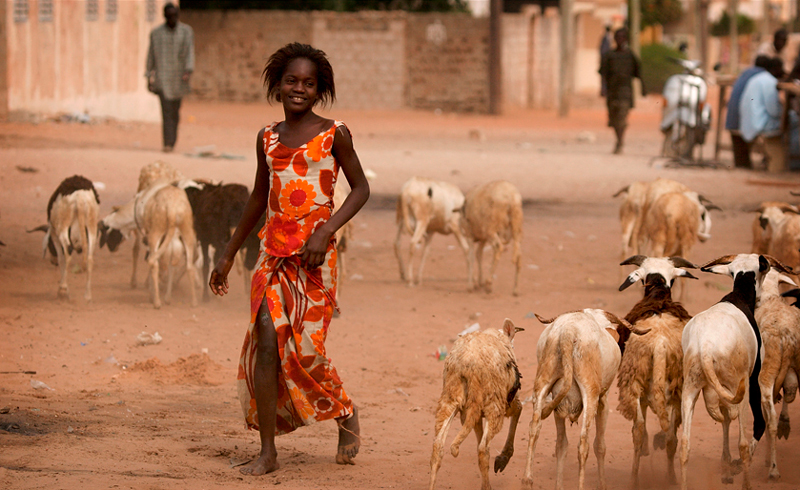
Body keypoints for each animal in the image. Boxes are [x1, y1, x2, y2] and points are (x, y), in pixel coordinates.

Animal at [432, 318, 524, 490]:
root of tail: (468, 365)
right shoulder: (508, 400)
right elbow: (519, 409)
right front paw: (503, 458)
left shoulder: (475, 414)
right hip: (494, 403)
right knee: (483, 448)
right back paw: (487, 485)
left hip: (451, 397)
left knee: (438, 445)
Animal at [520, 308, 648, 488]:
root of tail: (568, 332)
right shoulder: (603, 400)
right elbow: (599, 446)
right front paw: (602, 485)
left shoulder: (556, 405)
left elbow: (561, 445)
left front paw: (559, 486)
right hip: (590, 392)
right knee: (583, 443)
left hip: (543, 383)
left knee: (534, 428)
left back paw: (527, 480)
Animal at [616, 255, 696, 488]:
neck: (658, 292)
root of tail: (660, 343)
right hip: (677, 387)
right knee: (670, 437)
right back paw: (670, 477)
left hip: (635, 381)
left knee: (640, 432)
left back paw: (636, 478)